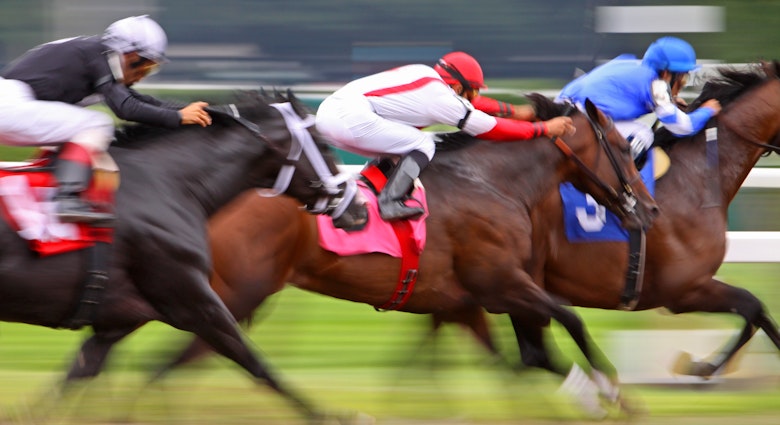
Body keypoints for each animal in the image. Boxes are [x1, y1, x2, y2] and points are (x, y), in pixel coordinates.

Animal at [0, 88, 368, 420]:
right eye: (323, 144)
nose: (360, 209)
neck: (168, 184)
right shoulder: (195, 302)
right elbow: (256, 363)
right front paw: (332, 416)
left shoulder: (119, 316)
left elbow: (76, 373)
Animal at [145, 93, 660, 418]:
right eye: (623, 148)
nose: (651, 210)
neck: (492, 182)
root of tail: (203, 195)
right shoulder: (500, 283)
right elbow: (569, 321)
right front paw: (613, 392)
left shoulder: (463, 302)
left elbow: (520, 359)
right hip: (237, 293)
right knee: (175, 362)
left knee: (175, 362)